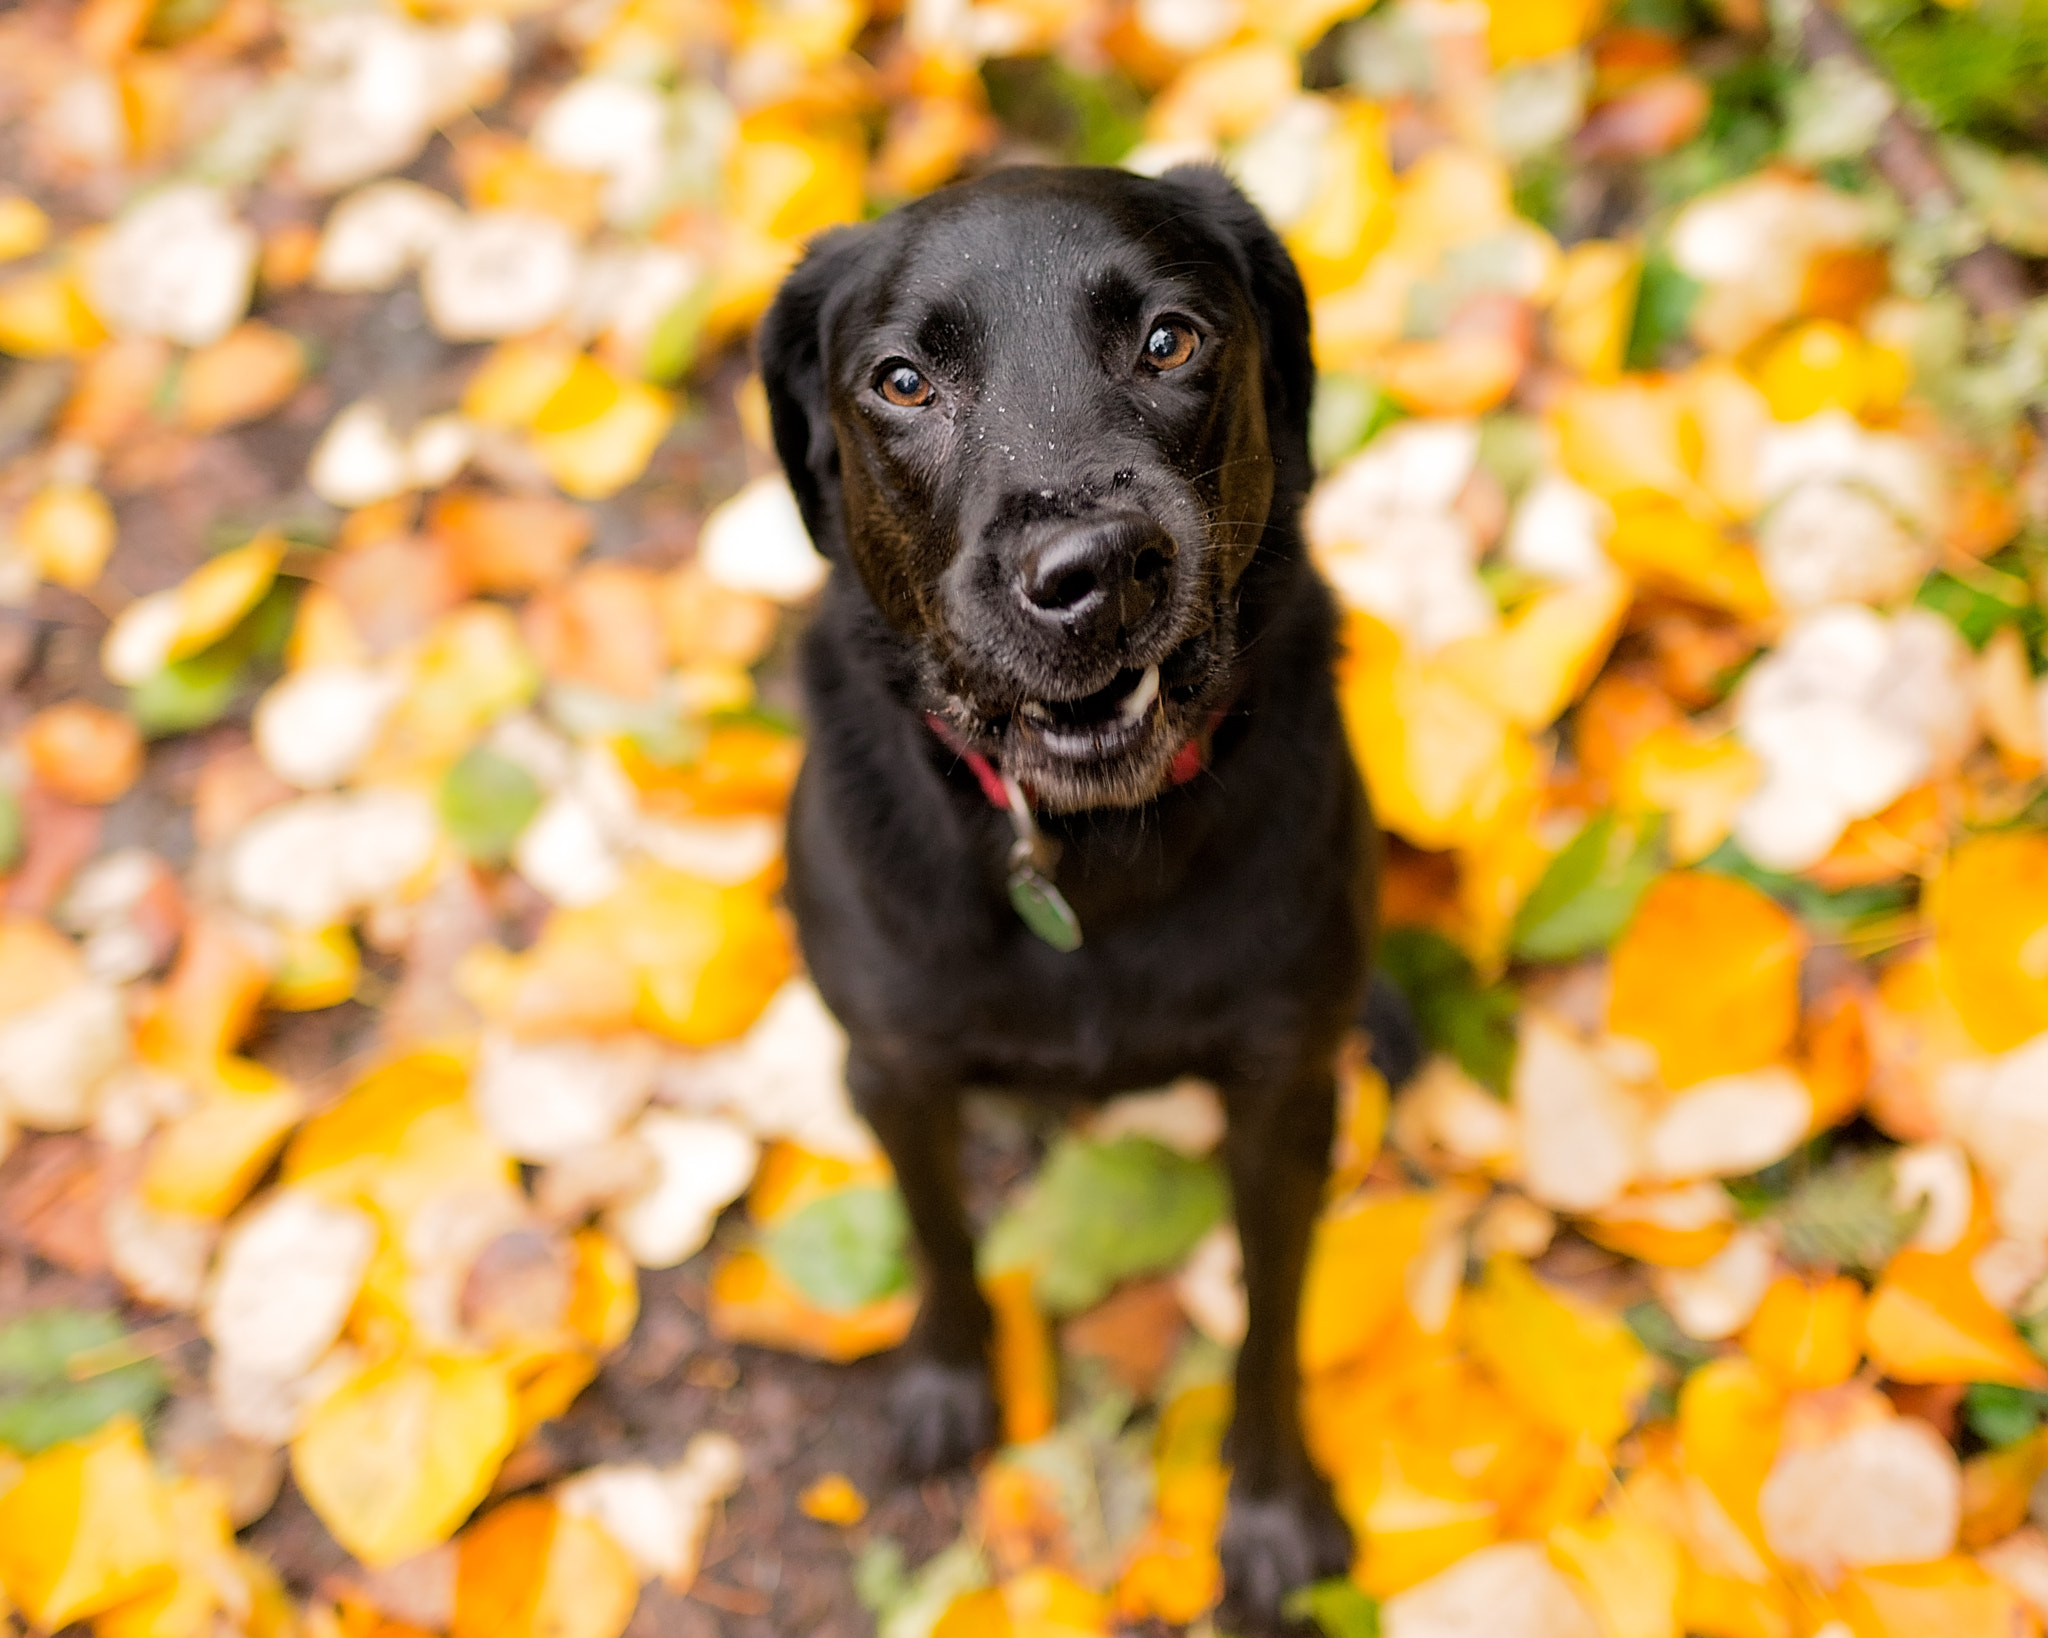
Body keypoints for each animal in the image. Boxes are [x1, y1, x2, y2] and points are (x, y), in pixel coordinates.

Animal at [761, 162, 1417, 1621]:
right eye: (901, 381)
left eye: (1170, 339)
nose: (1093, 573)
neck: (1086, 855)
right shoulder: (888, 1063)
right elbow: (939, 1233)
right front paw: (949, 1382)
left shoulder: (1282, 1095)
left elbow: (1270, 1315)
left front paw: (1272, 1508)